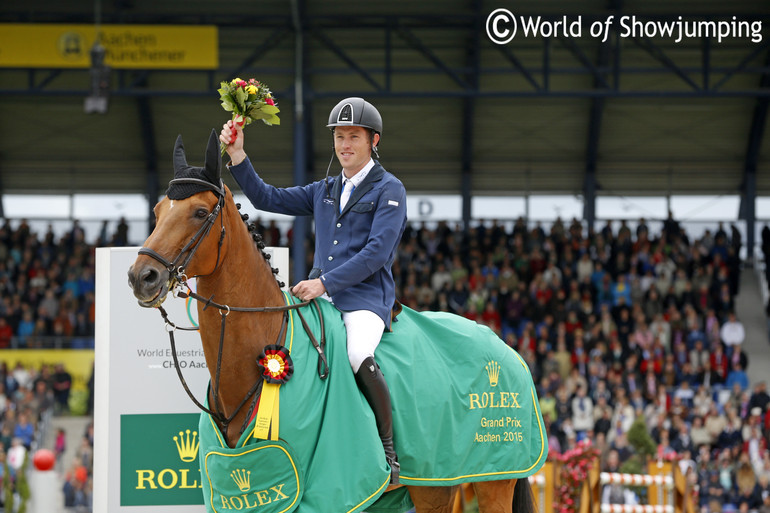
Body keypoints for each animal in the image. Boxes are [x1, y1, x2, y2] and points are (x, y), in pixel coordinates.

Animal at [127, 132, 536, 512]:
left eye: (199, 212)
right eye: (158, 210)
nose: (141, 277)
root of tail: (503, 345)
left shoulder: (325, 492)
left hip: (494, 479)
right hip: (436, 483)